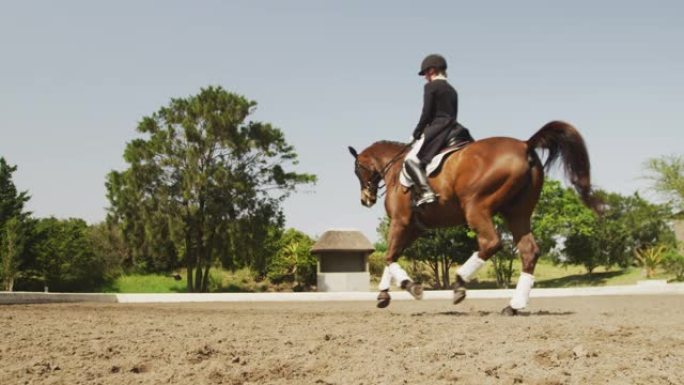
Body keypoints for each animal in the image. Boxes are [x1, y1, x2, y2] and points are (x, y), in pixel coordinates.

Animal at [350, 121, 596, 316]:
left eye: (357, 169)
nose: (365, 199)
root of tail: (525, 144)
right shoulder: (414, 227)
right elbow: (392, 256)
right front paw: (383, 296)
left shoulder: (400, 222)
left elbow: (389, 256)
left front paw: (411, 287)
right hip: (517, 213)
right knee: (529, 251)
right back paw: (513, 306)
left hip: (476, 207)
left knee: (491, 243)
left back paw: (460, 284)